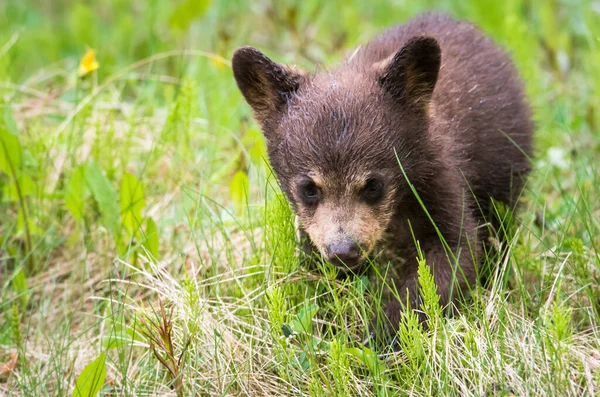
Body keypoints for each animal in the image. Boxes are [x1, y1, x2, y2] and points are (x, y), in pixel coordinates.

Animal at [232, 12, 532, 344]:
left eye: (374, 184)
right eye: (309, 188)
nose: (344, 251)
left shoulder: (439, 179)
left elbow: (455, 254)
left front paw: (381, 334)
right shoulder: (313, 228)